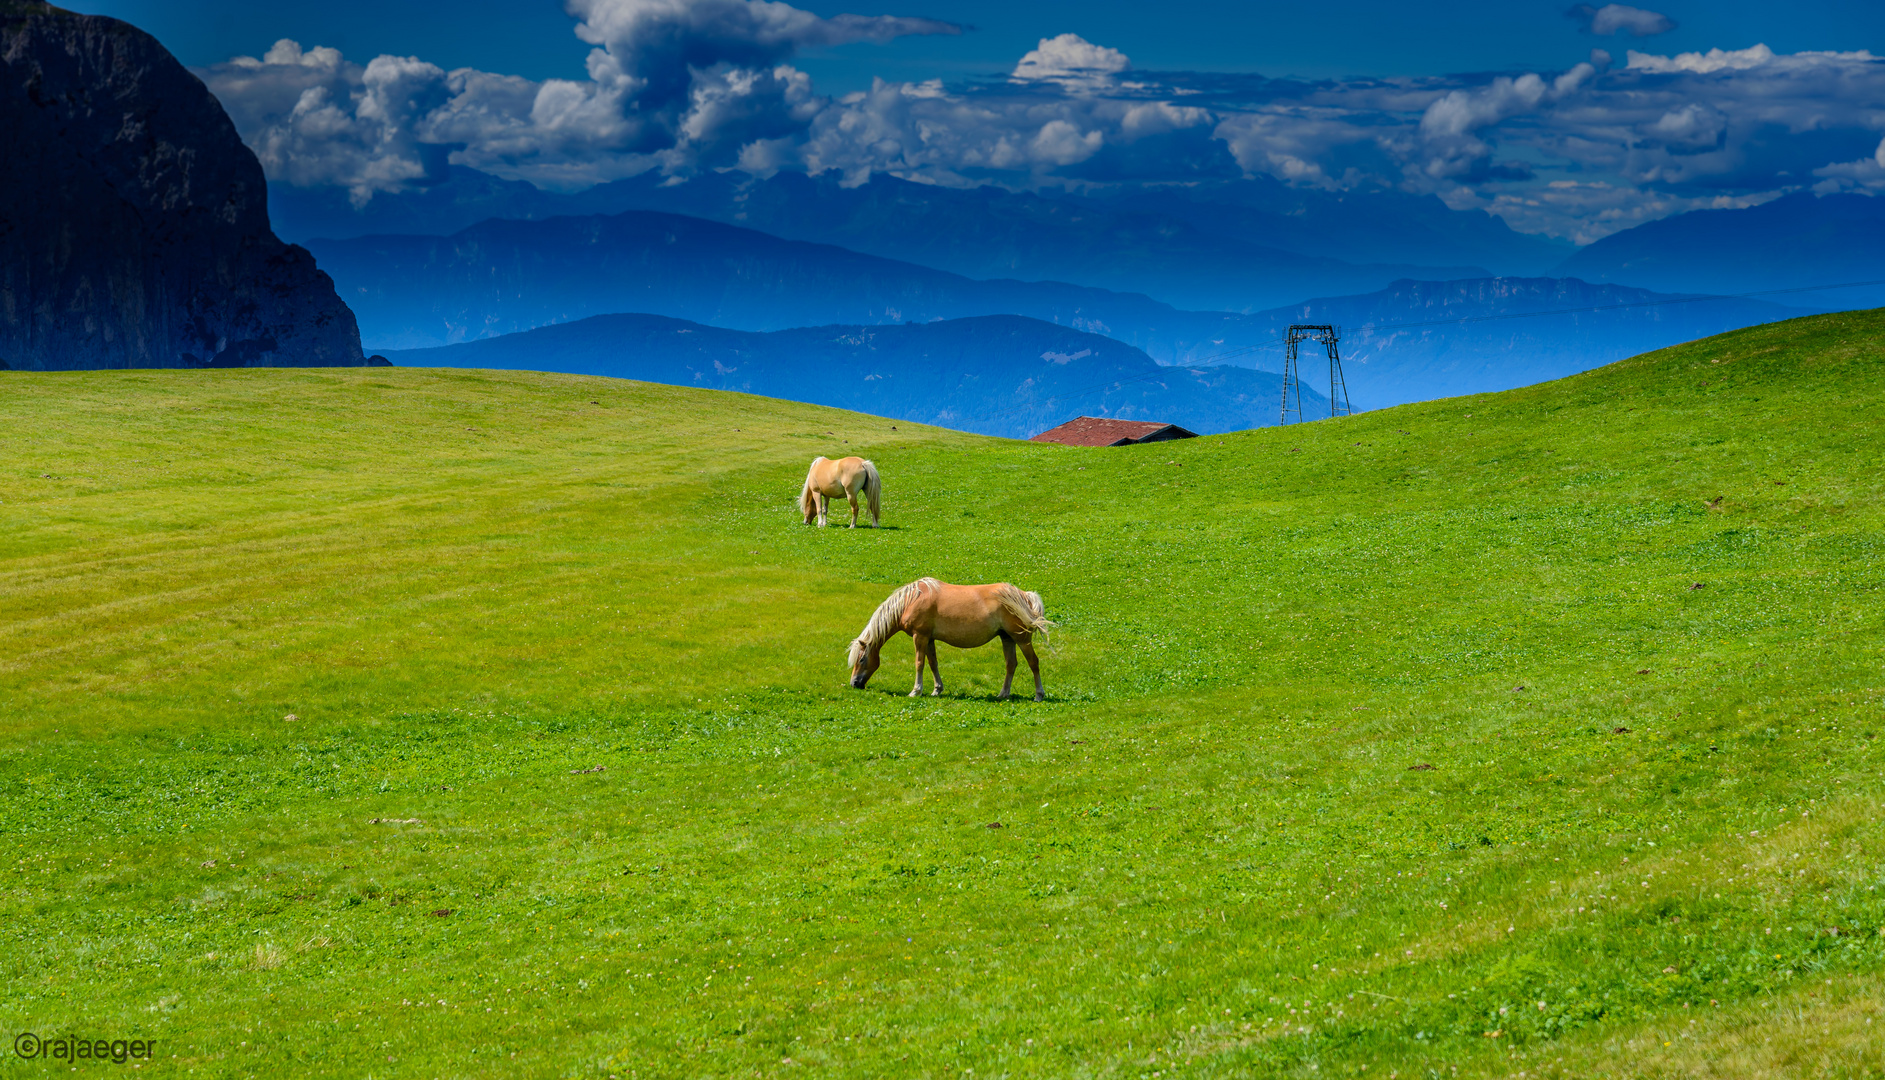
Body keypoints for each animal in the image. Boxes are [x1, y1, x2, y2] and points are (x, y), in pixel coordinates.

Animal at [848, 580, 1055, 697]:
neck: (911, 600)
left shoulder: (919, 636)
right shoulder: (929, 638)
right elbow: (933, 663)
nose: (854, 684)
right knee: (1011, 665)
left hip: (1021, 639)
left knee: (1033, 662)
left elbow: (919, 663)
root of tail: (1024, 595)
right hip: (1007, 638)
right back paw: (1003, 694)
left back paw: (1039, 694)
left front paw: (916, 691)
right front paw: (937, 689)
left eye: (862, 659)